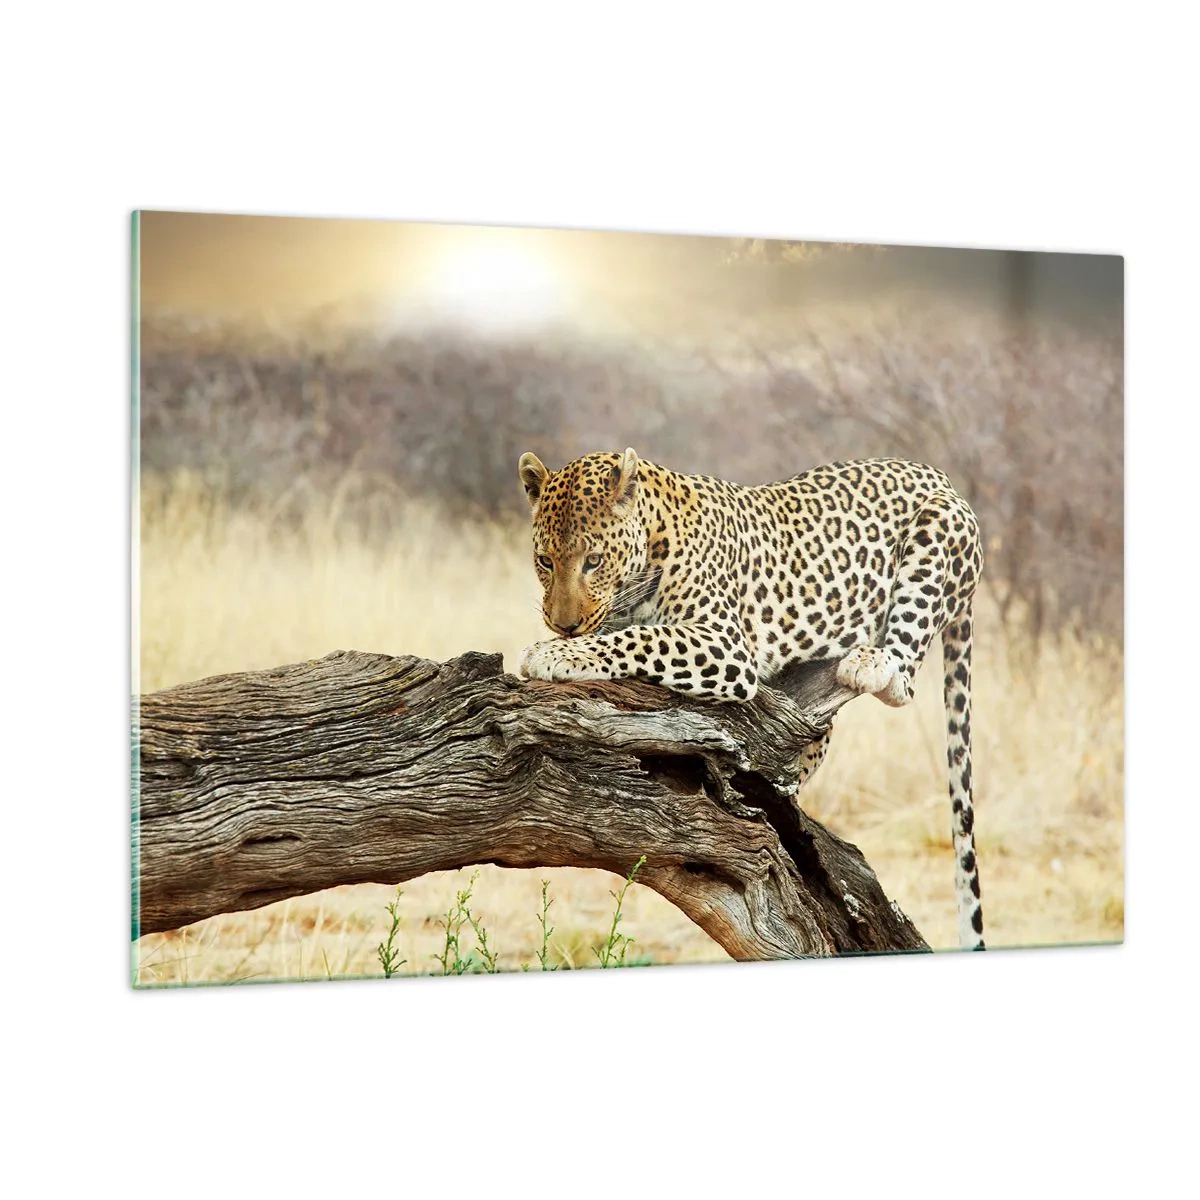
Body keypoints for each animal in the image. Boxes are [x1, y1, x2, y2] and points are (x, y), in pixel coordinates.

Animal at [516, 446, 986, 950]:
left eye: (594, 560)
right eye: (544, 561)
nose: (564, 624)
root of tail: (940, 476)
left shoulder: (725, 643)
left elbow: (641, 638)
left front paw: (553, 653)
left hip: (937, 531)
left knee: (905, 677)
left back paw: (871, 663)